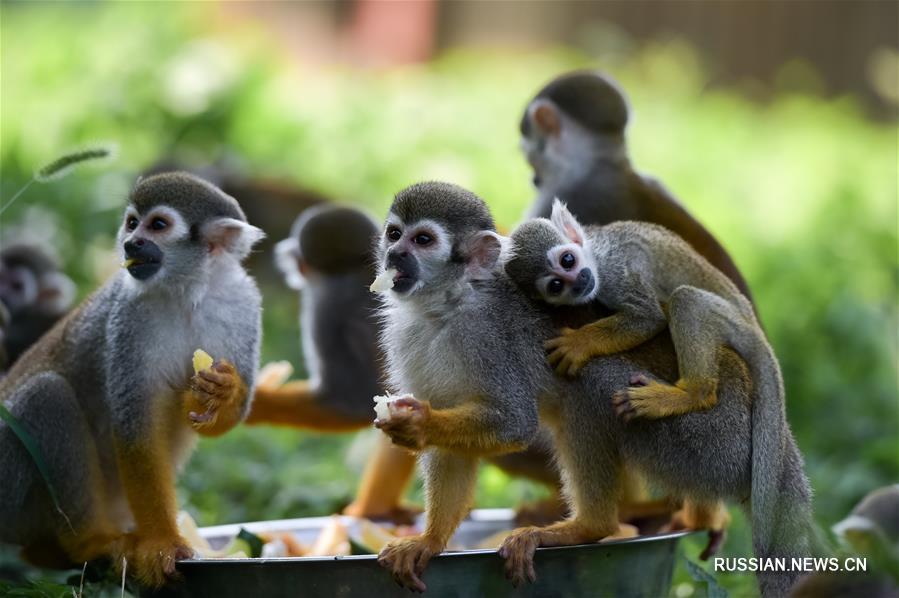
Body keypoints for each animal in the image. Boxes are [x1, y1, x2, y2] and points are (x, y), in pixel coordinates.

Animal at [0, 171, 266, 588]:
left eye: (157, 225)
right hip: (9, 486)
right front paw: (162, 542)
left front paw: (223, 393)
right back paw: (89, 542)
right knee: (47, 393)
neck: (189, 291)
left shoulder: (242, 305)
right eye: (131, 223)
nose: (131, 242)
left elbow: (219, 417)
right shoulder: (129, 316)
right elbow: (135, 428)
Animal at [370, 183, 812, 598]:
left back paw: (589, 526)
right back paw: (699, 515)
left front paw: (418, 425)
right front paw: (430, 541)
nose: (395, 255)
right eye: (394, 234)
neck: (447, 306)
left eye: (423, 240)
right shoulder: (407, 338)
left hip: (708, 440)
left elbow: (514, 422)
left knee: (589, 386)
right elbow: (453, 450)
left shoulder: (488, 335)